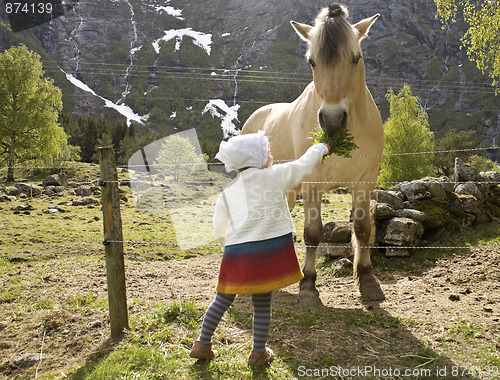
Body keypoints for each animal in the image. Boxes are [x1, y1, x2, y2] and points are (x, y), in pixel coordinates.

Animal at [242, 3, 386, 306]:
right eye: (312, 61)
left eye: (355, 58)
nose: (332, 121)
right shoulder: (312, 186)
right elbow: (312, 233)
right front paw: (308, 287)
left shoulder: (365, 182)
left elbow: (363, 229)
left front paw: (367, 281)